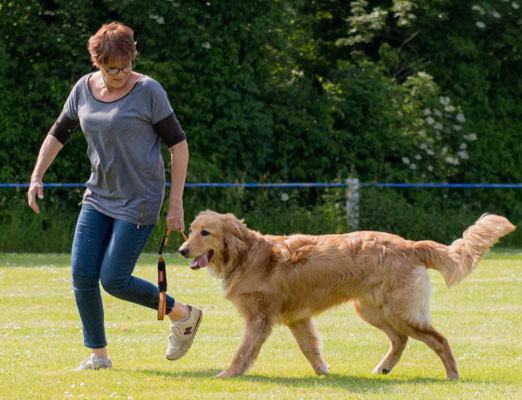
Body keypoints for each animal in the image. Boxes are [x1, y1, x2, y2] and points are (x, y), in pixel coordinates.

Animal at [178, 211, 512, 380]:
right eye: (190, 230)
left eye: (205, 233)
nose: (181, 250)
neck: (247, 254)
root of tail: (411, 245)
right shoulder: (298, 319)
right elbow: (310, 348)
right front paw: (322, 372)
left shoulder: (259, 319)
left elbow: (243, 352)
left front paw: (228, 374)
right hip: (372, 311)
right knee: (400, 339)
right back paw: (383, 368)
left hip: (401, 312)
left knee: (439, 340)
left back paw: (452, 375)